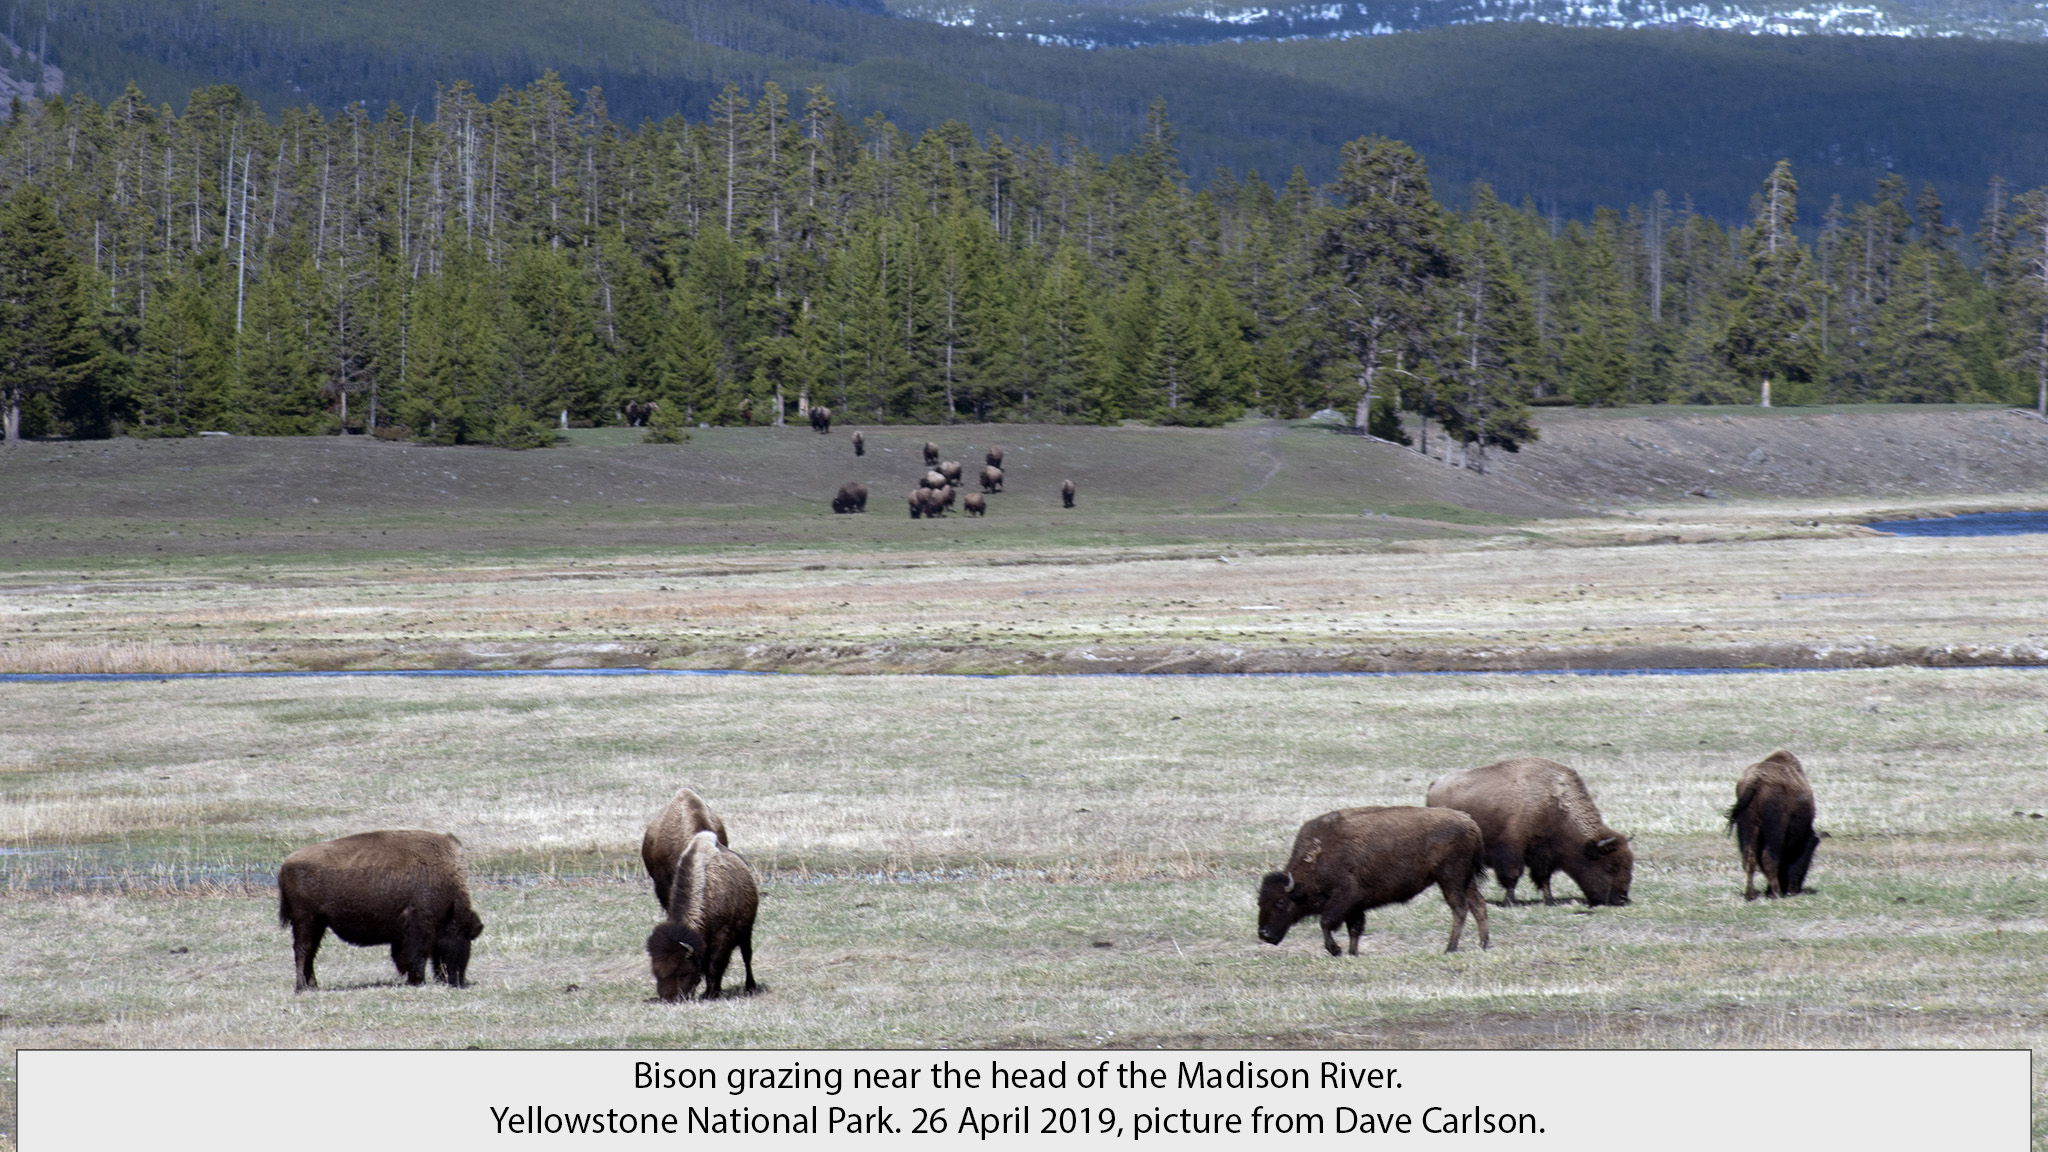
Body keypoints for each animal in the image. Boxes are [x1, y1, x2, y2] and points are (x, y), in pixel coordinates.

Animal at [277, 830, 485, 993]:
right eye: (464, 937)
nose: (458, 981)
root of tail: (286, 864)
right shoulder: (420, 927)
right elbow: (417, 955)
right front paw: (417, 980)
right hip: (305, 920)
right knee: (302, 951)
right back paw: (301, 987)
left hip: (318, 923)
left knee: (310, 953)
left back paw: (313, 986)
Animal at [646, 830, 760, 1001]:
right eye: (656, 972)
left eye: (683, 973)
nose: (669, 998)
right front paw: (711, 991)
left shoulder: (722, 937)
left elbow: (714, 965)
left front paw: (711, 993)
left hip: (746, 931)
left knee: (747, 956)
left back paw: (750, 986)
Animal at [1258, 806, 1489, 955]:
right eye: (1260, 902)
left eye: (1281, 902)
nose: (1264, 934)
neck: (1318, 855)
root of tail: (1470, 822)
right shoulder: (1356, 906)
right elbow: (1354, 929)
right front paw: (1352, 952)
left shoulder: (1345, 897)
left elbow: (1326, 922)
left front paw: (1336, 950)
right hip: (1465, 880)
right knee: (1478, 904)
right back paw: (1483, 944)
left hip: (1450, 879)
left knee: (1460, 909)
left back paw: (1450, 948)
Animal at [1426, 756, 1633, 906]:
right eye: (1610, 866)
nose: (1622, 898)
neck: (1554, 805)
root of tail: (1435, 784)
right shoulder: (1512, 851)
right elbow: (1513, 876)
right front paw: (1510, 901)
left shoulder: (1544, 855)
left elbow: (1544, 878)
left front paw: (1550, 900)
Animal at [1728, 749, 1818, 900]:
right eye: (1807, 858)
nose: (1794, 890)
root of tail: (1756, 779)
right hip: (1774, 831)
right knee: (1769, 859)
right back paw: (1776, 893)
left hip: (1747, 827)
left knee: (1749, 859)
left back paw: (1750, 894)